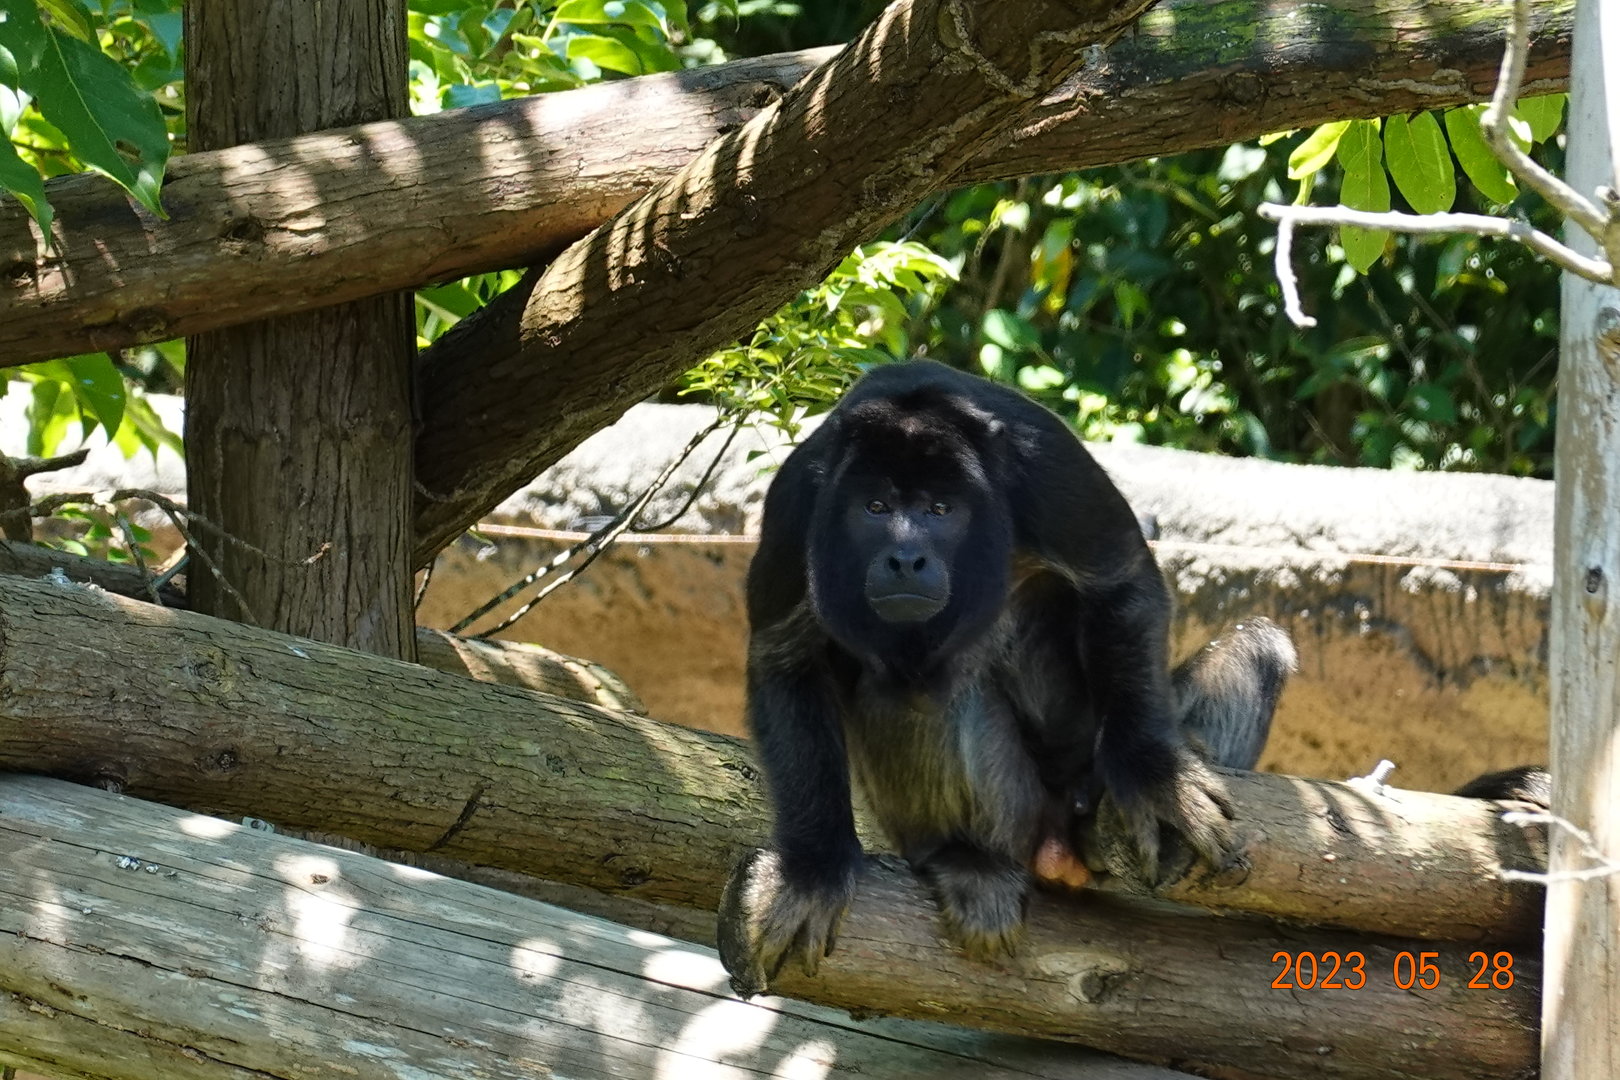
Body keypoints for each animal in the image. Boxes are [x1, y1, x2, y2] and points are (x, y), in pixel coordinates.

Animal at [718, 359, 1296, 997]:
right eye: (875, 507)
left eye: (939, 511)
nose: (906, 558)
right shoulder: (798, 498)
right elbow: (783, 657)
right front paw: (812, 869)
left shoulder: (1044, 461)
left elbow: (1120, 580)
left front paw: (1154, 775)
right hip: (1021, 816)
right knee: (924, 692)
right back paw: (965, 860)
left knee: (1260, 644)